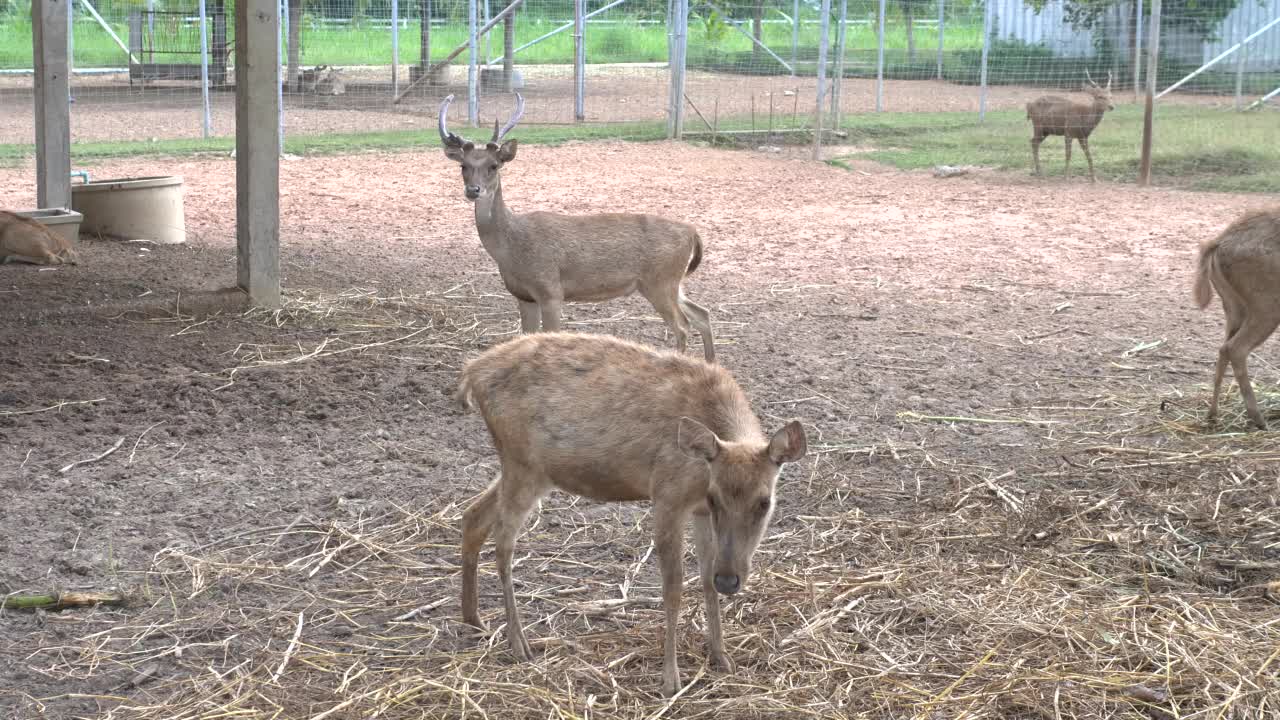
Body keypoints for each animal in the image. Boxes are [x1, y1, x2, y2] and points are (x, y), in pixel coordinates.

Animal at [437, 92, 721, 361]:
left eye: (494, 165)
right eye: (463, 166)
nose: (473, 190)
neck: (512, 249)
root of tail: (692, 232)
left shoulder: (551, 289)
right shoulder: (523, 295)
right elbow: (525, 337)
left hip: (660, 281)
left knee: (682, 327)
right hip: (674, 281)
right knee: (702, 313)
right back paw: (711, 364)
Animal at [455, 330, 803, 696]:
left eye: (764, 502)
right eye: (715, 497)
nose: (730, 580)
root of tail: (472, 373)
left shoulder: (698, 512)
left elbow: (705, 579)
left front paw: (721, 657)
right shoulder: (667, 495)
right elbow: (673, 587)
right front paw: (670, 679)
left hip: (526, 469)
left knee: (473, 515)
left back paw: (474, 619)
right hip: (522, 462)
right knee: (503, 542)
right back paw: (518, 642)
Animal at [1187, 204, 1280, 427]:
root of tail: (1217, 243)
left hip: (1234, 308)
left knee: (1223, 349)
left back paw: (1212, 415)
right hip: (1267, 307)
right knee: (1236, 348)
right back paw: (1258, 419)